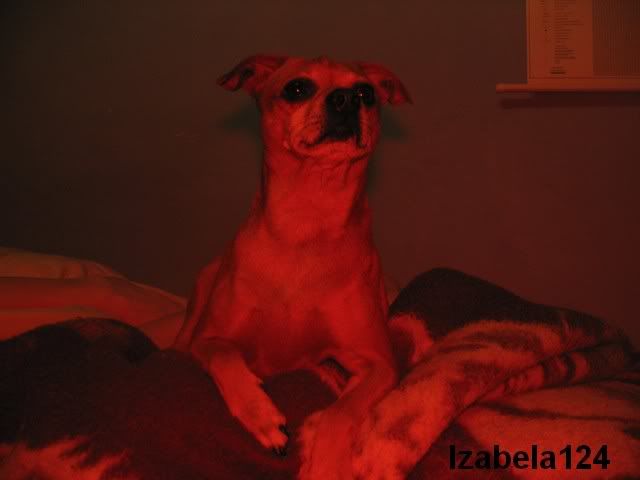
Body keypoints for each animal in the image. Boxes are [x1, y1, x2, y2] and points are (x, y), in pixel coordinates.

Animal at [173, 54, 411, 479]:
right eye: (297, 88)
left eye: (367, 93)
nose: (346, 98)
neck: (307, 227)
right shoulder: (209, 339)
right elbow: (225, 357)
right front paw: (261, 414)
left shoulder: (380, 364)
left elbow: (340, 413)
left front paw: (326, 464)